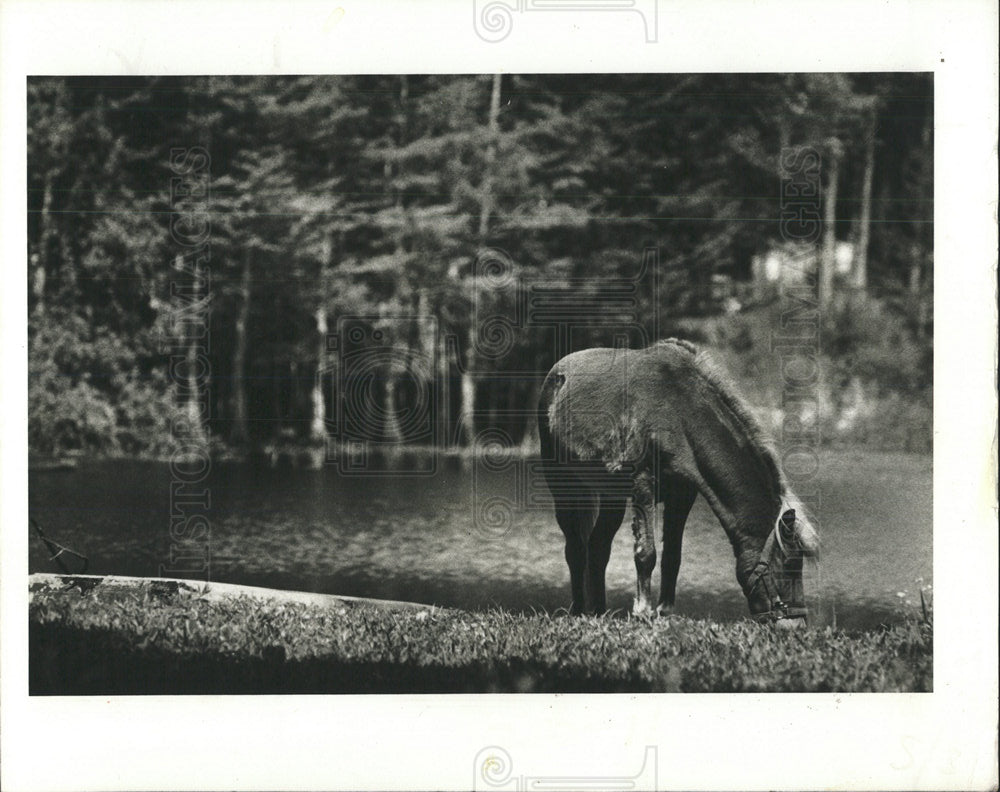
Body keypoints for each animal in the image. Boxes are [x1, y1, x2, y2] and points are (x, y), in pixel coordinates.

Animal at [536, 340, 816, 624]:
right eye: (790, 565)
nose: (796, 625)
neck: (681, 415)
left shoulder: (683, 494)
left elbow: (672, 555)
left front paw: (664, 612)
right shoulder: (642, 484)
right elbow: (646, 552)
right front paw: (643, 612)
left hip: (611, 495)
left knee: (597, 548)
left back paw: (600, 613)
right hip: (564, 485)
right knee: (575, 549)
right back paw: (579, 611)